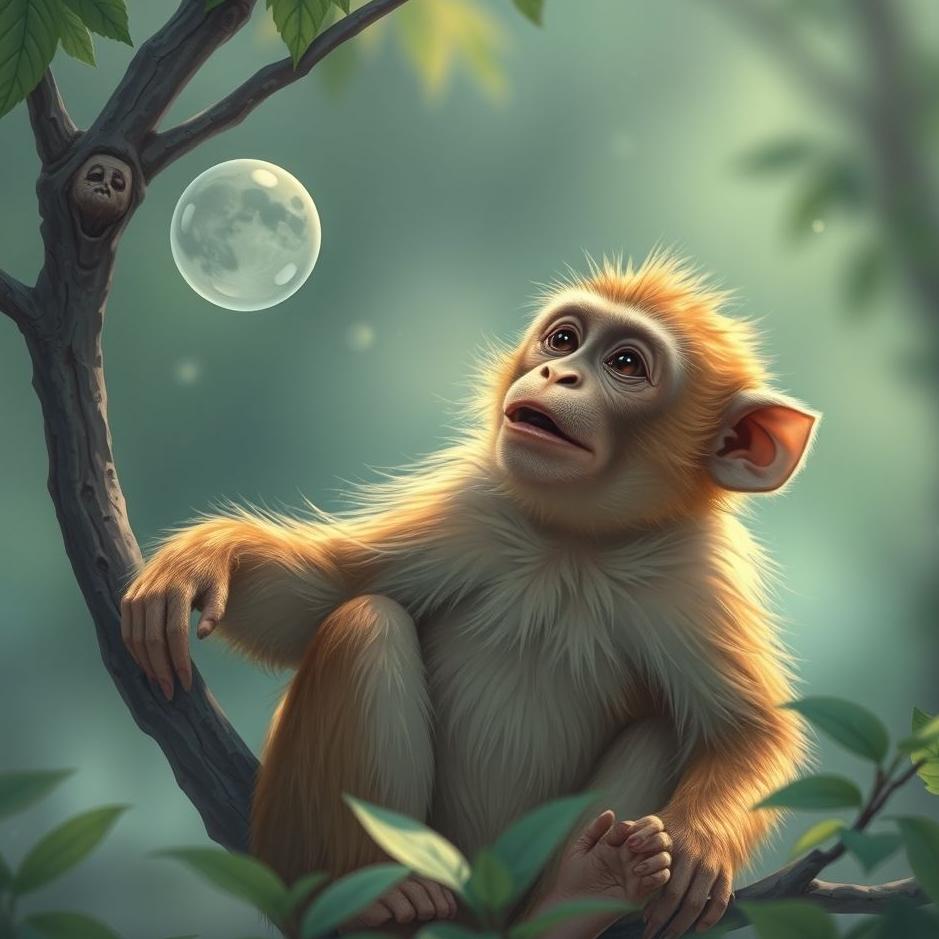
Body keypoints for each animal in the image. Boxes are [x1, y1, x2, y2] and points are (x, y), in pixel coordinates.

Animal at [122, 252, 816, 938]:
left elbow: (749, 732)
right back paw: (373, 892)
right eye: (564, 339)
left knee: (669, 729)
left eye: (625, 364)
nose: (556, 373)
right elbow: (312, 601)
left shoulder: (695, 578)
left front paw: (699, 844)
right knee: (366, 623)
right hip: (288, 844)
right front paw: (204, 557)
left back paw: (586, 887)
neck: (573, 545)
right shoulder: (469, 510)